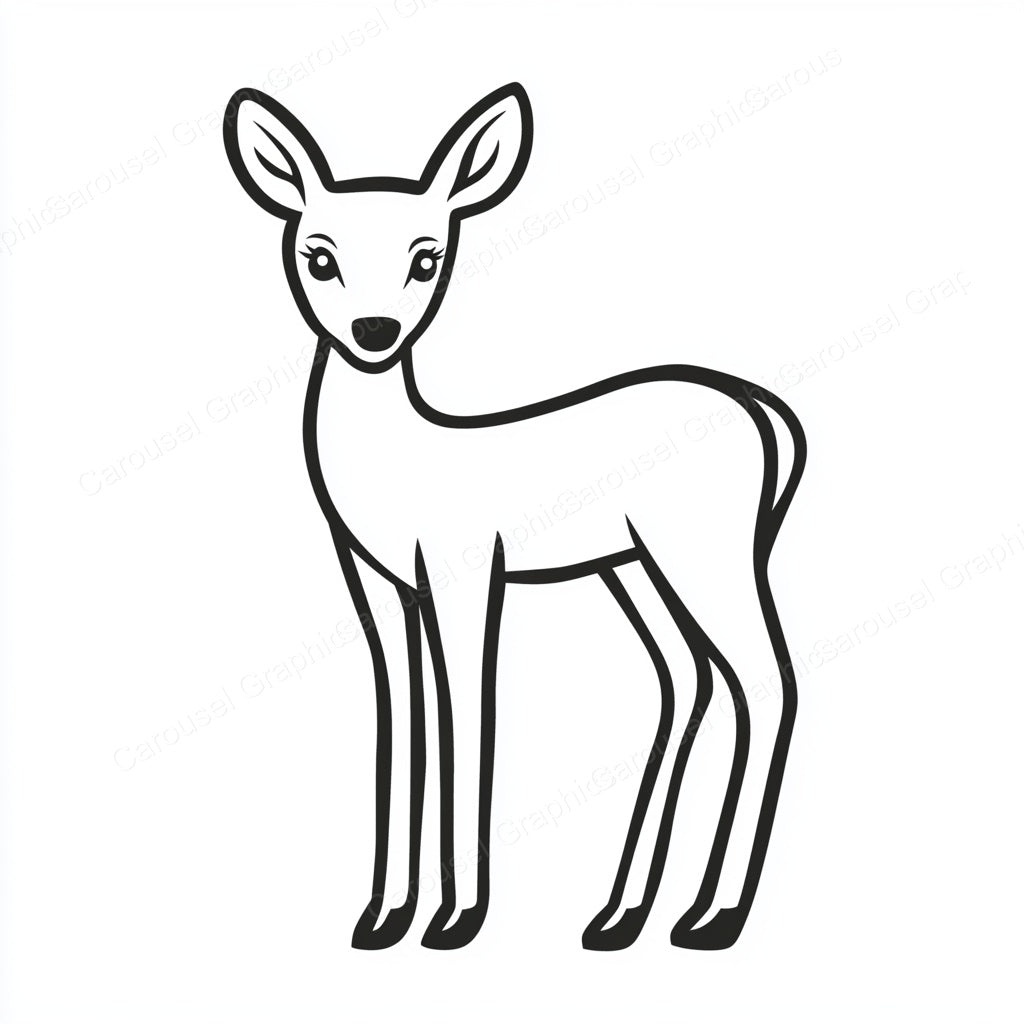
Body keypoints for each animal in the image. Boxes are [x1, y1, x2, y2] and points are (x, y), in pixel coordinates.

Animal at [223, 82, 807, 951]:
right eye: (317, 255)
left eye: (428, 256)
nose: (374, 332)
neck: (403, 458)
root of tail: (764, 412)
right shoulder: (377, 583)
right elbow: (403, 723)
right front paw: (382, 918)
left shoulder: (466, 572)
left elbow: (468, 721)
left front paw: (455, 920)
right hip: (633, 568)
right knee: (687, 682)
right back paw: (621, 916)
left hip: (704, 553)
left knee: (766, 680)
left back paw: (714, 918)